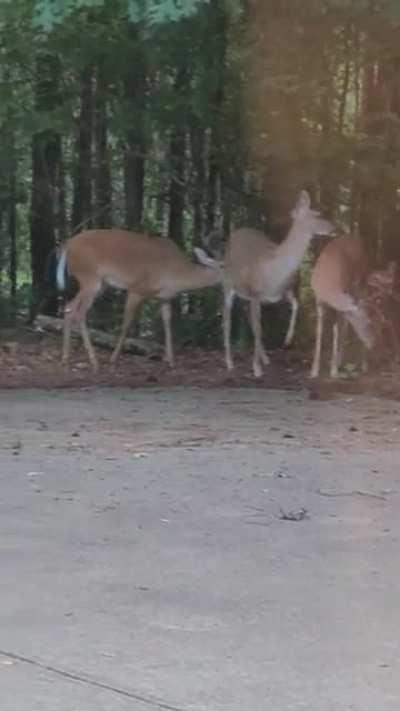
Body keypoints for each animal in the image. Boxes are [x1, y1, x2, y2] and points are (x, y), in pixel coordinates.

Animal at [55, 229, 221, 373]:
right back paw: (93, 362)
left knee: (69, 308)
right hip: (89, 276)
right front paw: (113, 360)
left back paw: (65, 360)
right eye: (223, 265)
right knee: (79, 311)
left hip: (98, 283)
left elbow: (167, 323)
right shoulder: (136, 289)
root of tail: (67, 245)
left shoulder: (164, 298)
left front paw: (170, 361)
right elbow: (126, 324)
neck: (174, 272)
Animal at [196, 190, 334, 377]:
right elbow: (259, 328)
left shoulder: (283, 291)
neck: (274, 271)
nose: (332, 227)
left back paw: (265, 358)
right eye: (315, 215)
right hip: (228, 284)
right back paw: (230, 362)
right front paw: (256, 368)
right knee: (226, 319)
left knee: (247, 318)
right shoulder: (255, 294)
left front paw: (287, 340)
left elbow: (295, 306)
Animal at [310, 234, 374, 378]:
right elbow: (319, 331)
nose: (373, 343)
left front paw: (333, 370)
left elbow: (337, 331)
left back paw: (364, 365)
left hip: (361, 280)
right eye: (368, 323)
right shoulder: (318, 301)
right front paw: (314, 370)